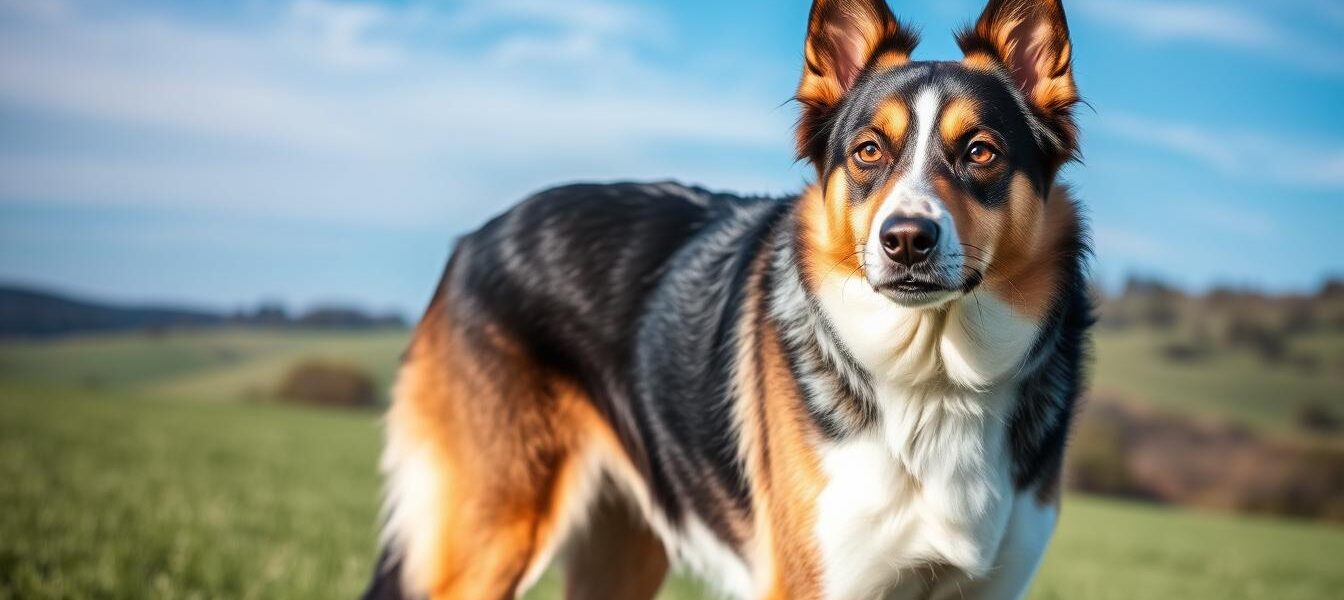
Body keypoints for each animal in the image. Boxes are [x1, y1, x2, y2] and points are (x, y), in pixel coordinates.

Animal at [365, 0, 1091, 597]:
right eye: (867, 152)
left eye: (981, 152)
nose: (906, 240)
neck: (935, 377)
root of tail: (474, 239)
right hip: (490, 538)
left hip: (622, 549)